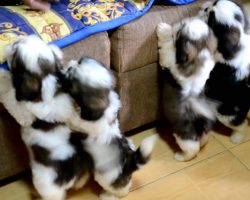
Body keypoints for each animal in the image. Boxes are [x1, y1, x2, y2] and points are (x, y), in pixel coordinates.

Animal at [61, 58, 158, 200]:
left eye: (71, 80)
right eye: (80, 61)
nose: (69, 66)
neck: (105, 104)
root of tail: (129, 162)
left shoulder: (82, 122)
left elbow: (73, 118)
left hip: (107, 178)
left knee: (121, 190)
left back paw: (108, 195)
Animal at [157, 18, 218, 162]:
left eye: (179, 32)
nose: (178, 23)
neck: (200, 53)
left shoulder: (170, 58)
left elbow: (168, 47)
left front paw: (163, 29)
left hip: (184, 136)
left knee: (192, 150)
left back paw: (180, 156)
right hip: (204, 133)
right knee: (202, 141)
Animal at [203, 0, 250, 144]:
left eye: (211, 17)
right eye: (214, 2)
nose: (205, 8)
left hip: (226, 114)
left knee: (241, 124)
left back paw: (236, 137)